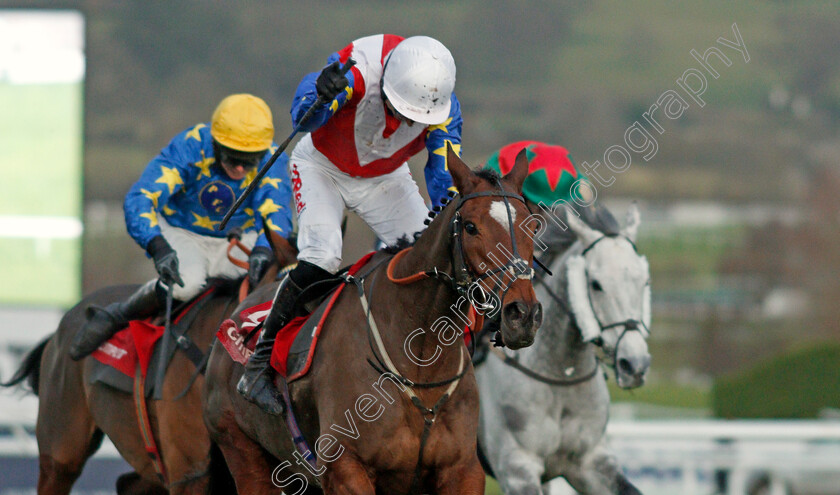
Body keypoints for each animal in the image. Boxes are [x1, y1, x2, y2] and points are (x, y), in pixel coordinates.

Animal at [203, 145, 544, 494]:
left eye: (533, 227)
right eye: (471, 227)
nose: (522, 314)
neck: (420, 360)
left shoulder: (462, 470)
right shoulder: (345, 469)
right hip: (244, 454)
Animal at [476, 203, 652, 494]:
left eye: (644, 282)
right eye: (596, 284)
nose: (635, 364)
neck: (560, 376)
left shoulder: (591, 461)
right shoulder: (517, 469)